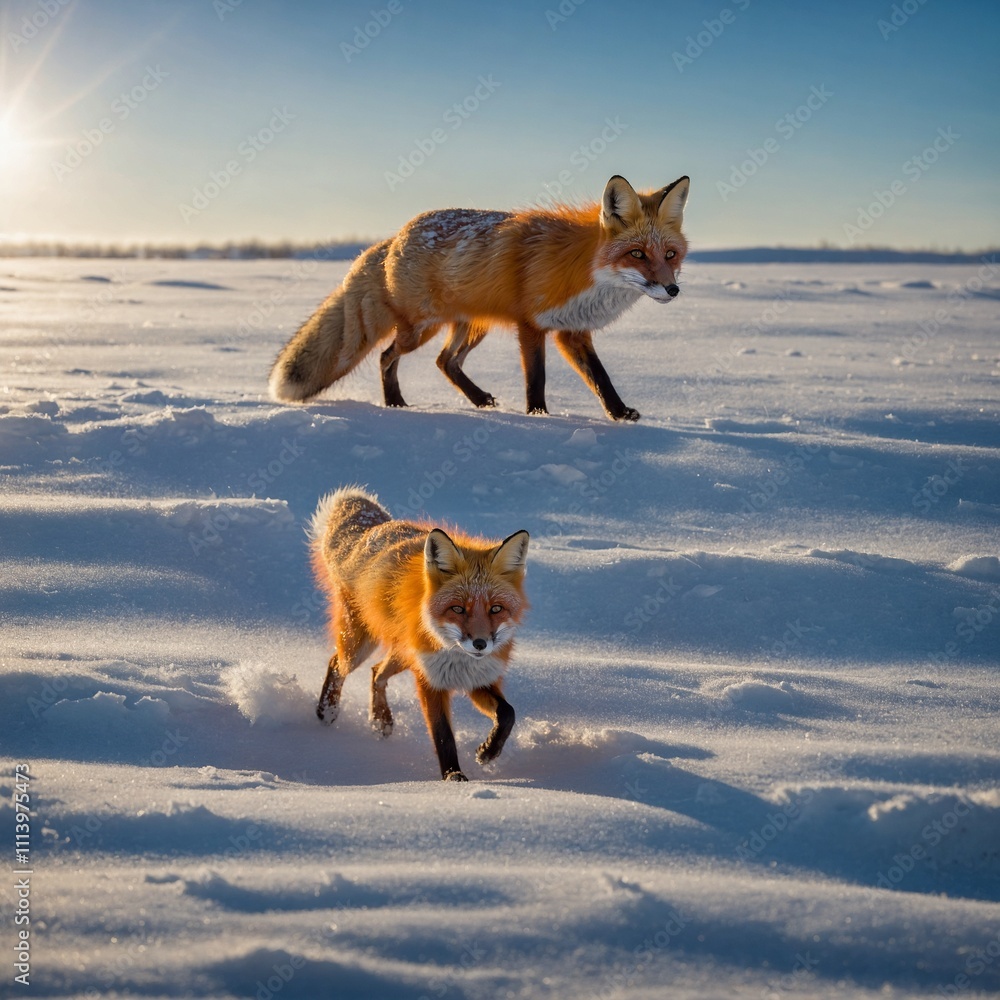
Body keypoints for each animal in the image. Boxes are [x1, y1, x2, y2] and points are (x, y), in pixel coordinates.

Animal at [269, 173, 690, 421]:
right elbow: (536, 379)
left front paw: (619, 414)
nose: (672, 290)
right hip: (420, 329)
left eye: (670, 254)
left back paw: (477, 400)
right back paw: (395, 404)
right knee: (388, 356)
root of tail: (393, 237)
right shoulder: (530, 326)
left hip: (472, 327)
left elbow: (601, 378)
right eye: (637, 254)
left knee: (445, 362)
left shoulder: (572, 331)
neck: (584, 272)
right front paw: (538, 417)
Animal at [309, 486, 529, 781]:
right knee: (337, 664)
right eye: (457, 608)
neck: (456, 655)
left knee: (377, 672)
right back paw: (328, 710)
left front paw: (488, 752)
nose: (480, 644)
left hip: (403, 655)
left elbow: (507, 713)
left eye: (496, 608)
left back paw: (381, 719)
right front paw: (453, 777)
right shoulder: (430, 681)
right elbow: (443, 735)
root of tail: (372, 531)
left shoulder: (477, 679)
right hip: (360, 647)